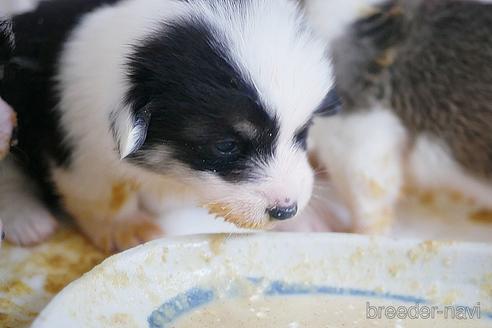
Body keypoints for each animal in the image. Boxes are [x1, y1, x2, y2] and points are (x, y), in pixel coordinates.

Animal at [0, 0, 336, 251]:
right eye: (226, 146)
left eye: (302, 134)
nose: (286, 210)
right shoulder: (79, 147)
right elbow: (103, 195)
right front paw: (129, 229)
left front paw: (303, 220)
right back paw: (26, 220)